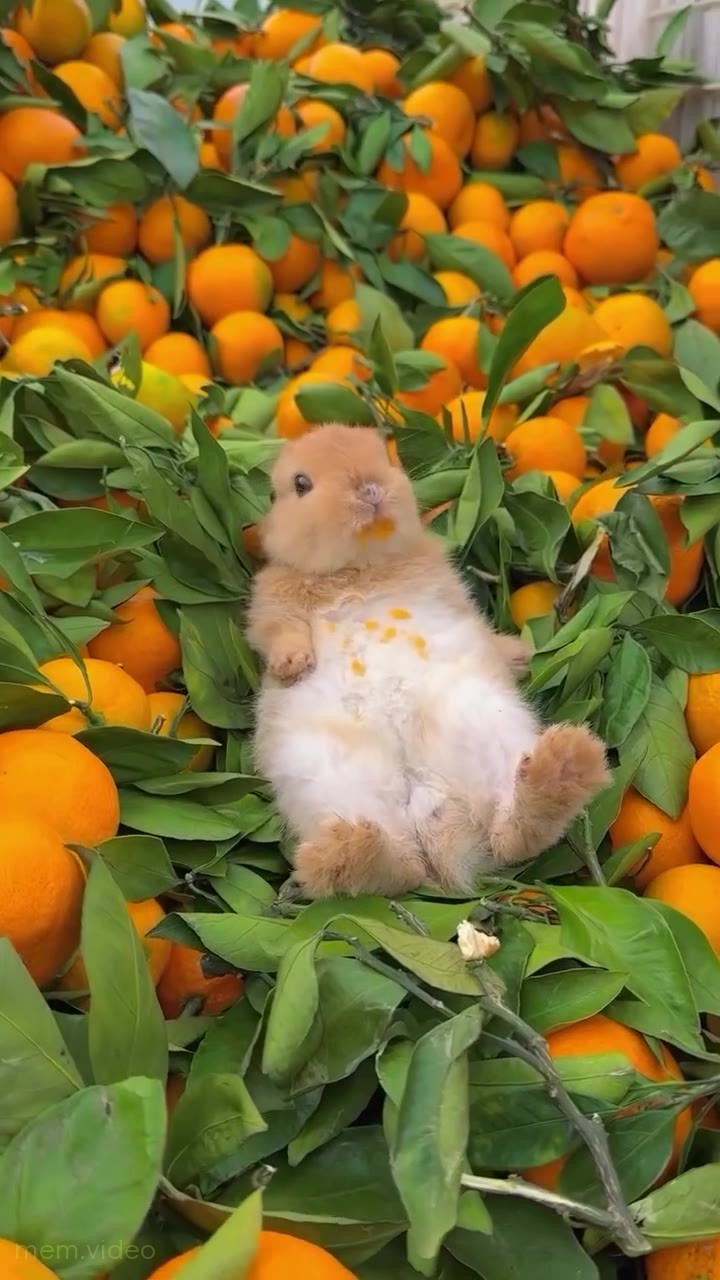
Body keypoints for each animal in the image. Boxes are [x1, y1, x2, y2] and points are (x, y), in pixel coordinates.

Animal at [247, 424, 609, 899]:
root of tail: (432, 826)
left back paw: (563, 765)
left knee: (508, 834)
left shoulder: (448, 589)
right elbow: (279, 631)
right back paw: (343, 850)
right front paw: (293, 664)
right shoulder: (271, 603)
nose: (370, 489)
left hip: (486, 729)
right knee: (400, 866)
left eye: (386, 456)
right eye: (301, 484)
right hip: (327, 783)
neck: (358, 569)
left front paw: (516, 653)